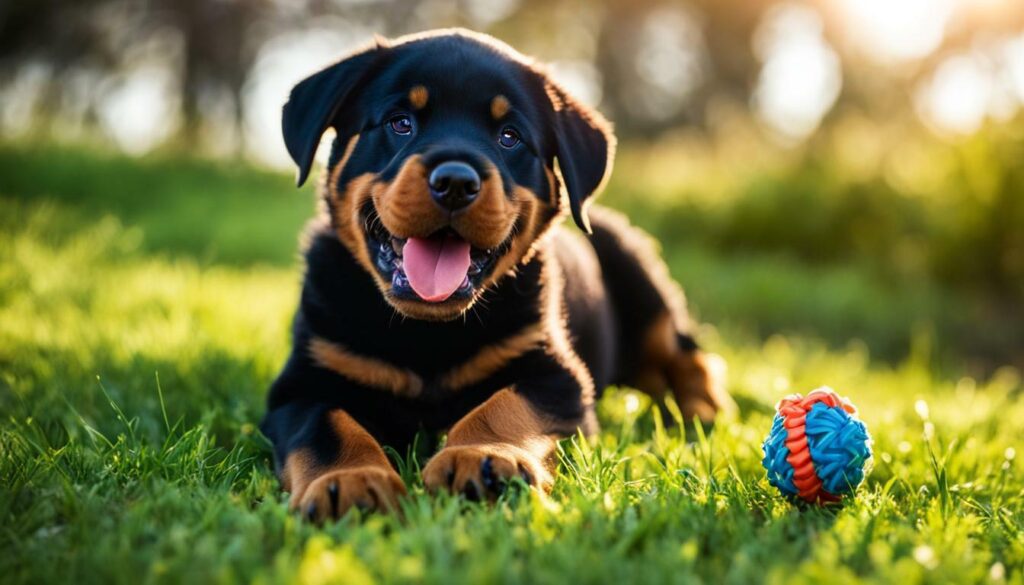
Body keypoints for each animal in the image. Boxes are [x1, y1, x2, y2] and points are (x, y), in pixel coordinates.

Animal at [260, 30, 733, 522]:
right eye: (400, 123)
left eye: (509, 137)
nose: (455, 182)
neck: (426, 334)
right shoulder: (304, 381)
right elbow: (328, 426)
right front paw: (350, 480)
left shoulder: (555, 373)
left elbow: (504, 404)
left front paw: (481, 455)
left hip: (639, 277)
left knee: (685, 351)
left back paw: (701, 407)